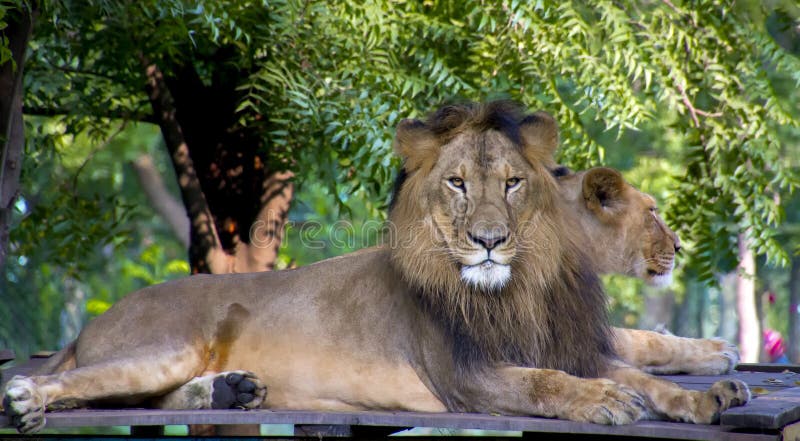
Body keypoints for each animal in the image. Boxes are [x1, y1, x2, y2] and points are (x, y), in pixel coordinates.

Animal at [3, 100, 748, 434]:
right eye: (456, 184)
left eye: (512, 184)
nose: (487, 240)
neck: (532, 282)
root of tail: (89, 324)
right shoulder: (470, 378)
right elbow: (550, 384)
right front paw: (606, 401)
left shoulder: (575, 346)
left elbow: (639, 369)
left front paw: (708, 393)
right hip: (166, 343)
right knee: (83, 385)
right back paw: (29, 396)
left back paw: (231, 392)